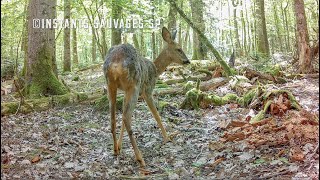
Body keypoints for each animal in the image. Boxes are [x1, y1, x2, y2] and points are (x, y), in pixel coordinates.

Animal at [103, 26, 190, 167]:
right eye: (179, 48)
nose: (187, 61)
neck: (156, 70)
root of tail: (115, 62)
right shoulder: (147, 91)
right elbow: (157, 115)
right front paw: (167, 137)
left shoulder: (125, 91)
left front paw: (120, 146)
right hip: (134, 84)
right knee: (126, 117)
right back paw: (140, 158)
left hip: (111, 84)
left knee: (114, 118)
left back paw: (115, 150)